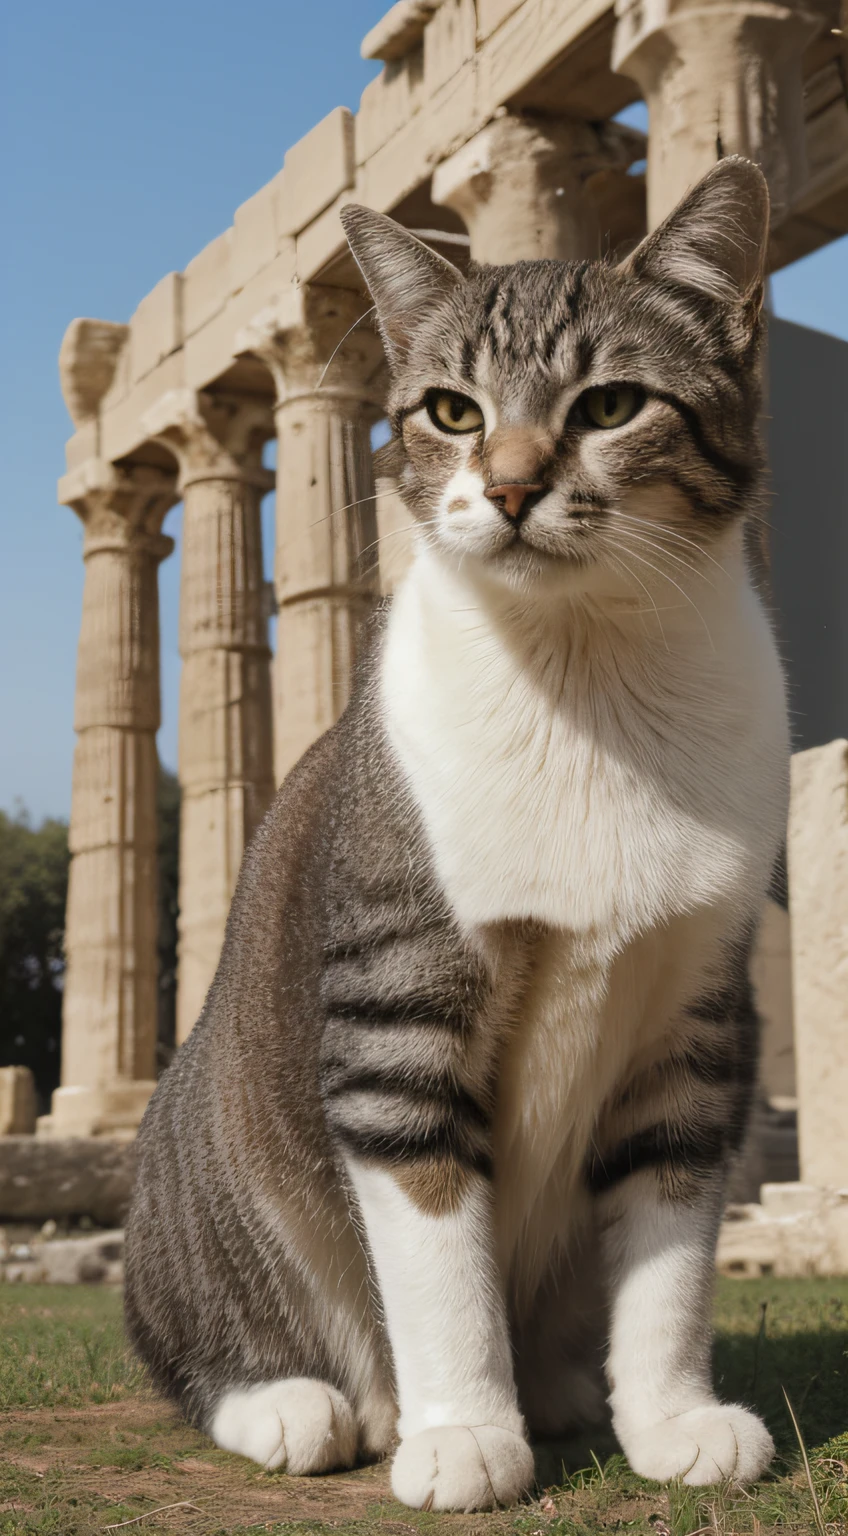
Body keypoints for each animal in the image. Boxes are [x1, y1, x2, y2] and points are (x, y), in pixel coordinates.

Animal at [124, 152, 786, 1511]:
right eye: (450, 412)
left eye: (608, 405)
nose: (514, 486)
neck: (584, 676)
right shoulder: (394, 1007)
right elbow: (438, 1255)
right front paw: (466, 1434)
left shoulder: (695, 1016)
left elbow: (671, 1246)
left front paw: (671, 1418)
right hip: (194, 1179)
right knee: (195, 1338)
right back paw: (305, 1405)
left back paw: (570, 1389)